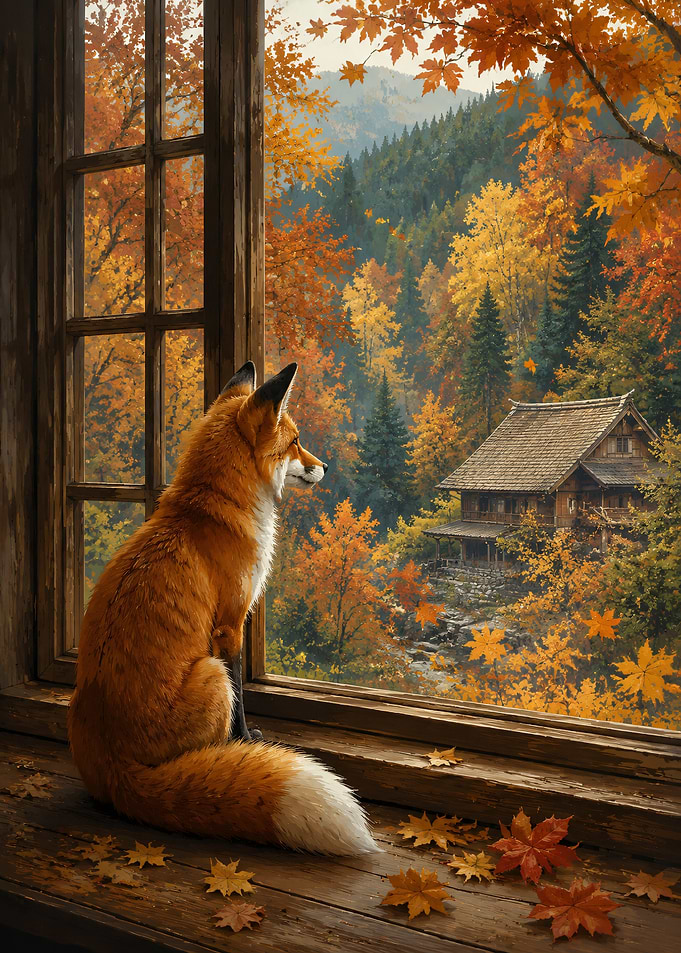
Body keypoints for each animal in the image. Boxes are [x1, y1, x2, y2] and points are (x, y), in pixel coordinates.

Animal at [68, 361, 378, 855]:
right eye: (295, 442)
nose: (325, 466)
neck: (215, 509)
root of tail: (116, 769)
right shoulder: (230, 625)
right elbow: (242, 700)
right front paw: (247, 740)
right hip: (210, 673)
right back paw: (222, 759)